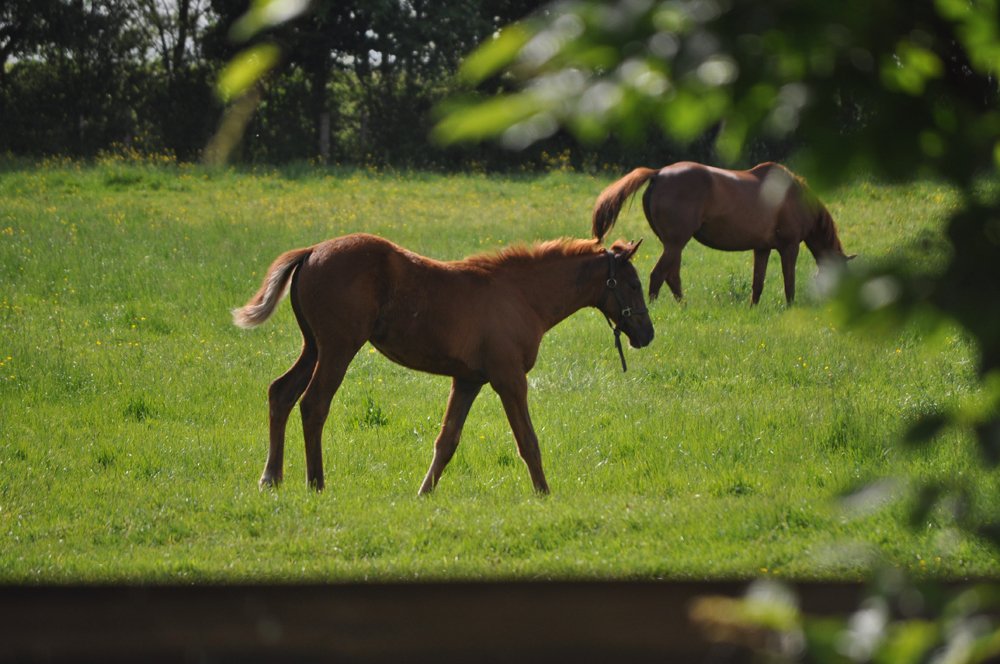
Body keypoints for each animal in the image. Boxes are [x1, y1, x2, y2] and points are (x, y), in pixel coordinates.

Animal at [232, 233, 653, 495]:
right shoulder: (509, 378)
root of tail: (311, 251)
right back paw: (316, 483)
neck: (522, 295)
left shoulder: (468, 380)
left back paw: (271, 478)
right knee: (314, 403)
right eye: (633, 285)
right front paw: (544, 494)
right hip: (338, 347)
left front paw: (424, 493)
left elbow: (447, 440)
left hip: (313, 345)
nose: (647, 333)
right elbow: (528, 441)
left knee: (281, 392)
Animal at [591, 161, 854, 305]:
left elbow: (758, 283)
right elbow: (789, 283)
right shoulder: (790, 247)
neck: (794, 197)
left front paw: (753, 308)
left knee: (671, 276)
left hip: (673, 245)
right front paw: (790, 308)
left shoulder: (762, 249)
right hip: (676, 243)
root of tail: (658, 173)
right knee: (659, 275)